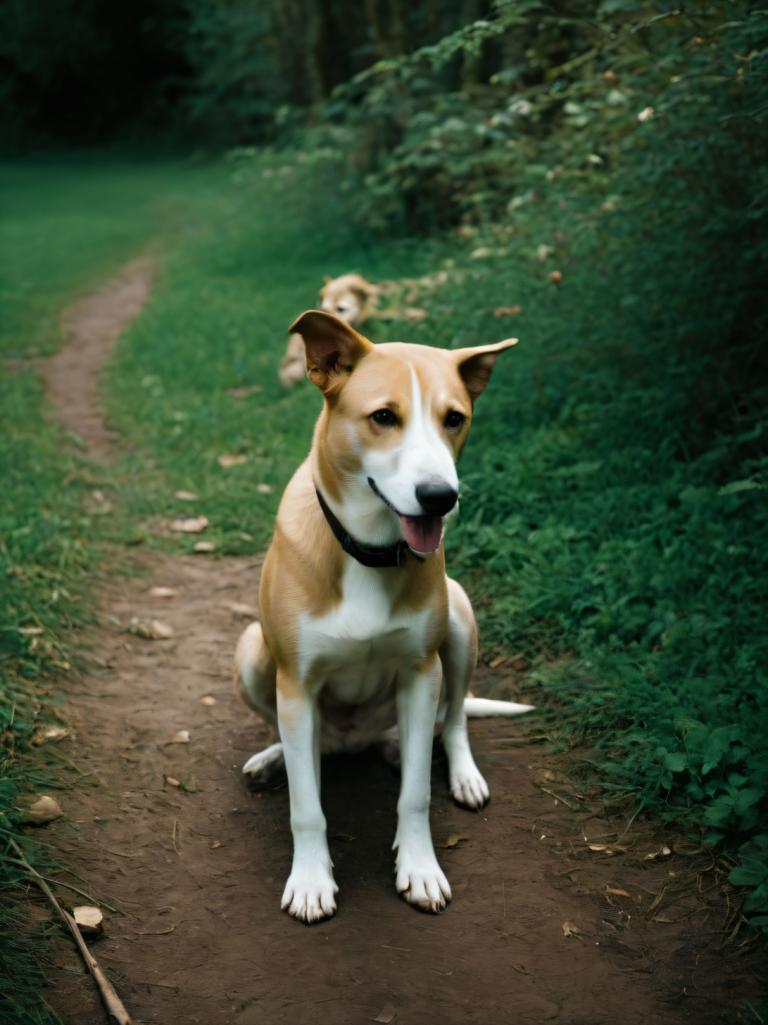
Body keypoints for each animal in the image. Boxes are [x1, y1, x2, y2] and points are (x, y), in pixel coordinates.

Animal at [236, 309, 529, 922]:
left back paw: (460, 772)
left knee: (454, 719)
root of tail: (354, 742)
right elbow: (306, 806)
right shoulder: (295, 683)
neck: (366, 550)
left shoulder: (420, 676)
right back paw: (276, 757)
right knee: (304, 748)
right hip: (252, 652)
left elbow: (415, 794)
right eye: (383, 417)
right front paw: (311, 879)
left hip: (459, 622)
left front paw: (419, 869)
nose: (440, 496)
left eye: (455, 418)